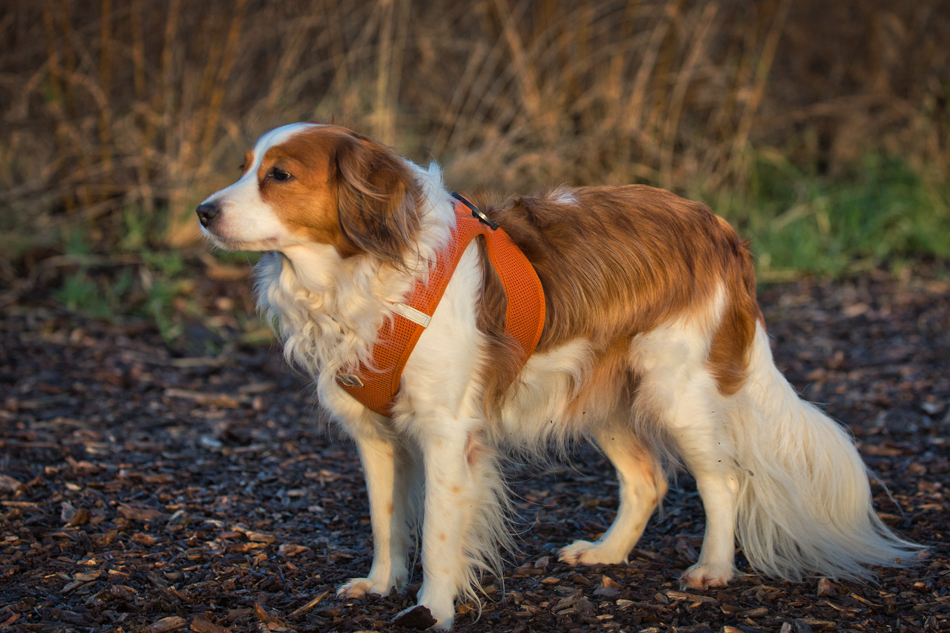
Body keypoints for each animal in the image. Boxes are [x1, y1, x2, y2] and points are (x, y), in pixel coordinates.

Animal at [197, 122, 920, 628]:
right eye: (245, 168)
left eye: (279, 174)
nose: (203, 211)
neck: (362, 276)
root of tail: (717, 226)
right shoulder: (376, 436)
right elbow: (385, 517)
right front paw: (380, 584)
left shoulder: (446, 433)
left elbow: (438, 532)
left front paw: (432, 608)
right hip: (604, 397)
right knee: (648, 480)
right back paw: (607, 553)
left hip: (676, 390)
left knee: (724, 480)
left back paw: (712, 568)